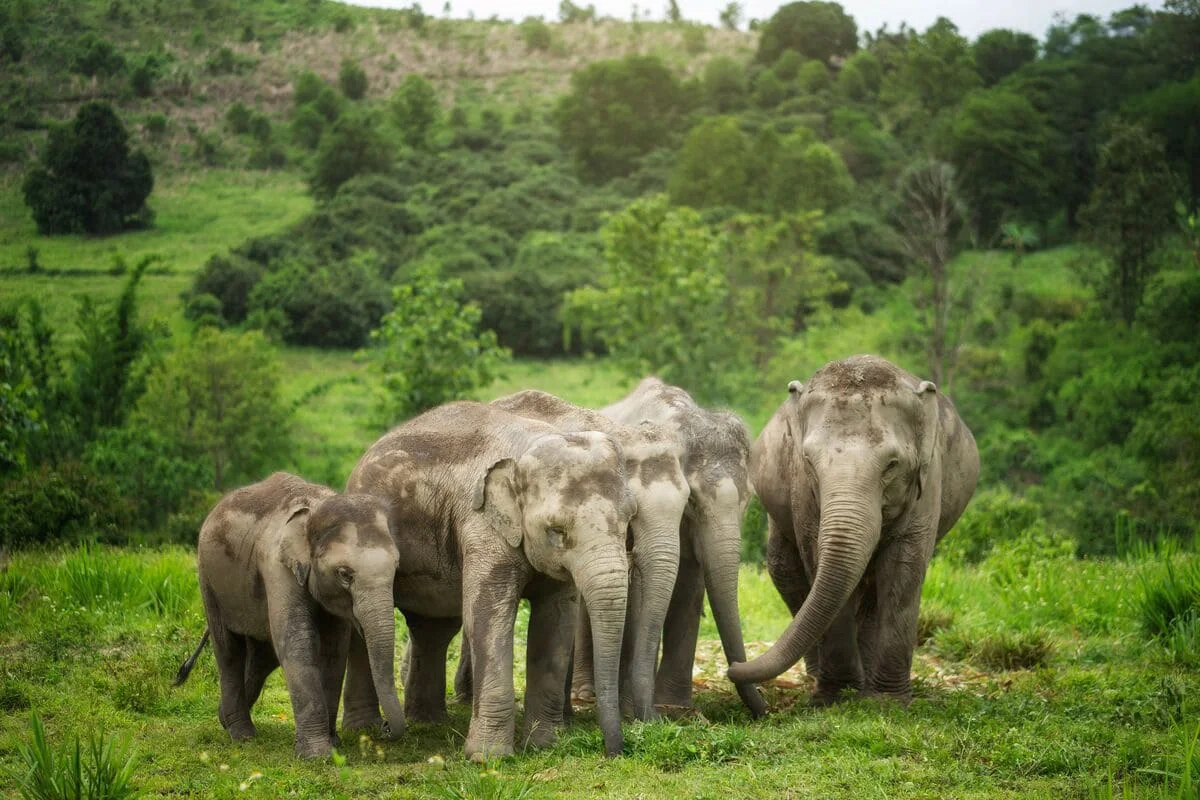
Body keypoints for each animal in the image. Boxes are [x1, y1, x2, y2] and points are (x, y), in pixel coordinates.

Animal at [174, 472, 404, 759]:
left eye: (396, 567)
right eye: (344, 574)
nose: (384, 727)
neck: (316, 509)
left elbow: (334, 649)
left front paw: (334, 744)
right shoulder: (276, 566)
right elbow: (298, 642)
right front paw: (318, 756)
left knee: (262, 656)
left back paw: (224, 719)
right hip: (209, 581)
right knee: (228, 650)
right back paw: (242, 735)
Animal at [339, 401, 637, 760]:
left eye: (630, 518)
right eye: (556, 531)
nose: (615, 752)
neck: (529, 444)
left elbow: (556, 623)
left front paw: (544, 746)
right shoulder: (481, 525)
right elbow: (486, 617)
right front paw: (488, 758)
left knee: (432, 628)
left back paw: (427, 723)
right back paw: (365, 730)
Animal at [726, 355, 979, 705]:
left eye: (892, 464)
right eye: (808, 460)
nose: (733, 667)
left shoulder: (928, 484)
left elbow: (904, 569)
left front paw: (888, 701)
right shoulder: (801, 488)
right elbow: (816, 556)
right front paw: (837, 697)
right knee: (786, 572)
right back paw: (821, 677)